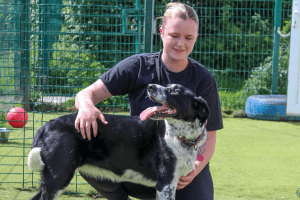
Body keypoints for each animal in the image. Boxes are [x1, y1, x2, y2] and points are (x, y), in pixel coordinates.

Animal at [27, 84, 209, 200]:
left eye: (175, 91)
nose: (150, 86)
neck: (179, 136)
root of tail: (48, 124)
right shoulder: (165, 184)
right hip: (59, 175)